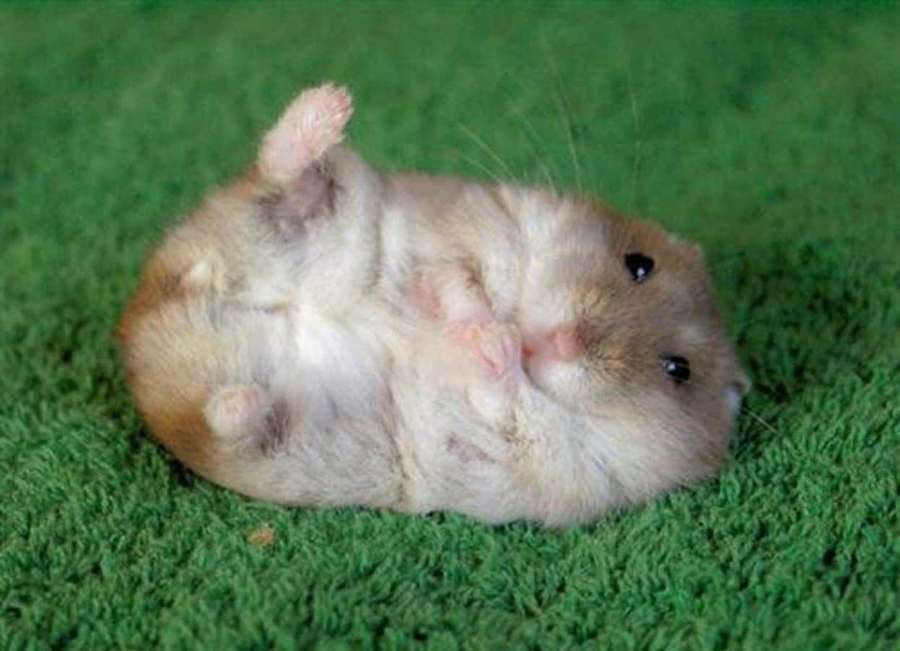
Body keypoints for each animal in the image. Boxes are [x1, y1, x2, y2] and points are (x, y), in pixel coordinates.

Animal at [118, 84, 749, 526]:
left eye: (678, 369)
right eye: (638, 263)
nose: (558, 342)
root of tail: (146, 323)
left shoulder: (553, 460)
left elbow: (504, 395)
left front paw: (487, 342)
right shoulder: (478, 226)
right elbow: (460, 281)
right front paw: (469, 319)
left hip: (264, 443)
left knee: (225, 420)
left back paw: (247, 398)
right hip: (315, 218)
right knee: (283, 176)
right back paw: (329, 106)